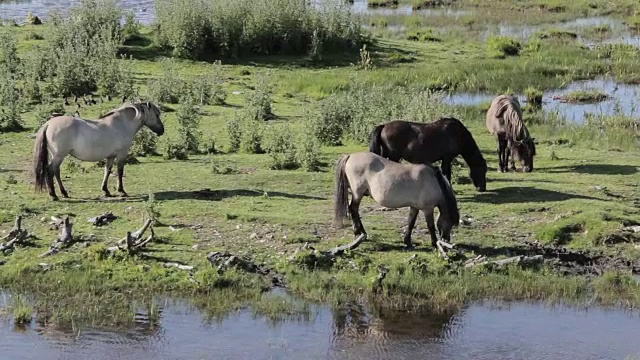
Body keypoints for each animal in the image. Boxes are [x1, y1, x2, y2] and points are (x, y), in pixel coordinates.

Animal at [32, 101, 165, 201]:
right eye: (157, 114)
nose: (162, 130)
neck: (122, 124)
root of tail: (49, 124)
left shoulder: (111, 156)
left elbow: (107, 171)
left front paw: (106, 191)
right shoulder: (121, 154)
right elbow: (120, 171)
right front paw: (121, 191)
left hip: (57, 156)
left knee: (56, 171)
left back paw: (64, 193)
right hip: (59, 156)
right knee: (50, 170)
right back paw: (53, 195)